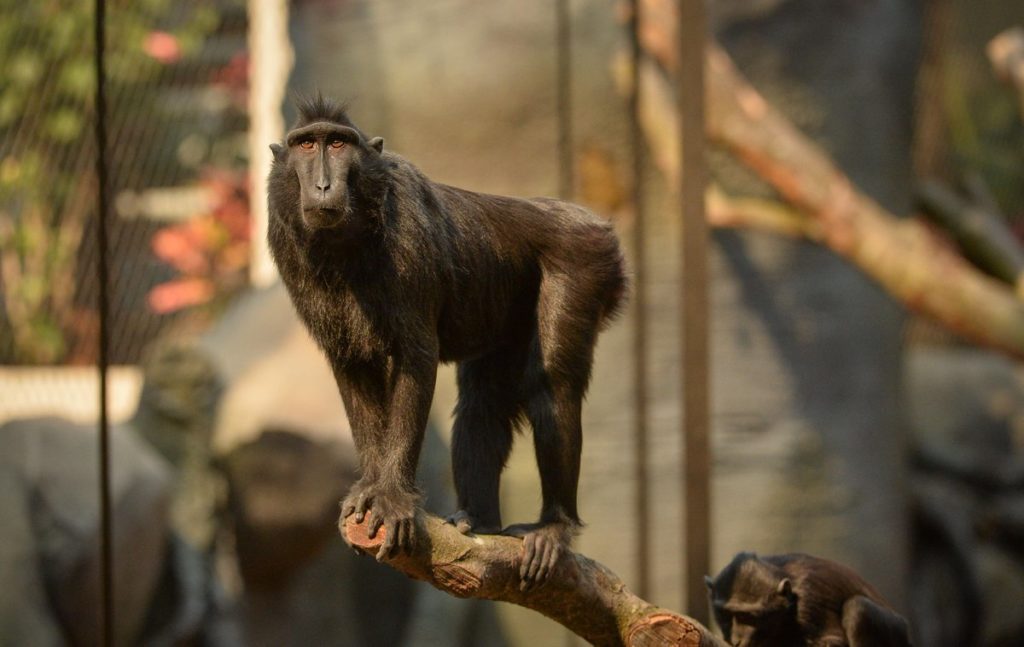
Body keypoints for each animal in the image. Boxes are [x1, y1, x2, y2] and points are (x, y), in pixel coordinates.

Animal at [266, 97, 626, 591]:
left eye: (337, 144)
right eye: (306, 145)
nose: (322, 184)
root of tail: (590, 221)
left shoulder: (408, 231)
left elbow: (416, 358)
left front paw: (392, 497)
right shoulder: (285, 244)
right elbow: (353, 368)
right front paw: (370, 488)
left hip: (583, 262)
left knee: (553, 388)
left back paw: (554, 527)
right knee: (482, 403)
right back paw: (479, 522)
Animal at [705, 552, 912, 647]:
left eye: (747, 617)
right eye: (725, 615)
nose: (736, 641)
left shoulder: (809, 601)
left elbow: (831, 641)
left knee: (858, 608)